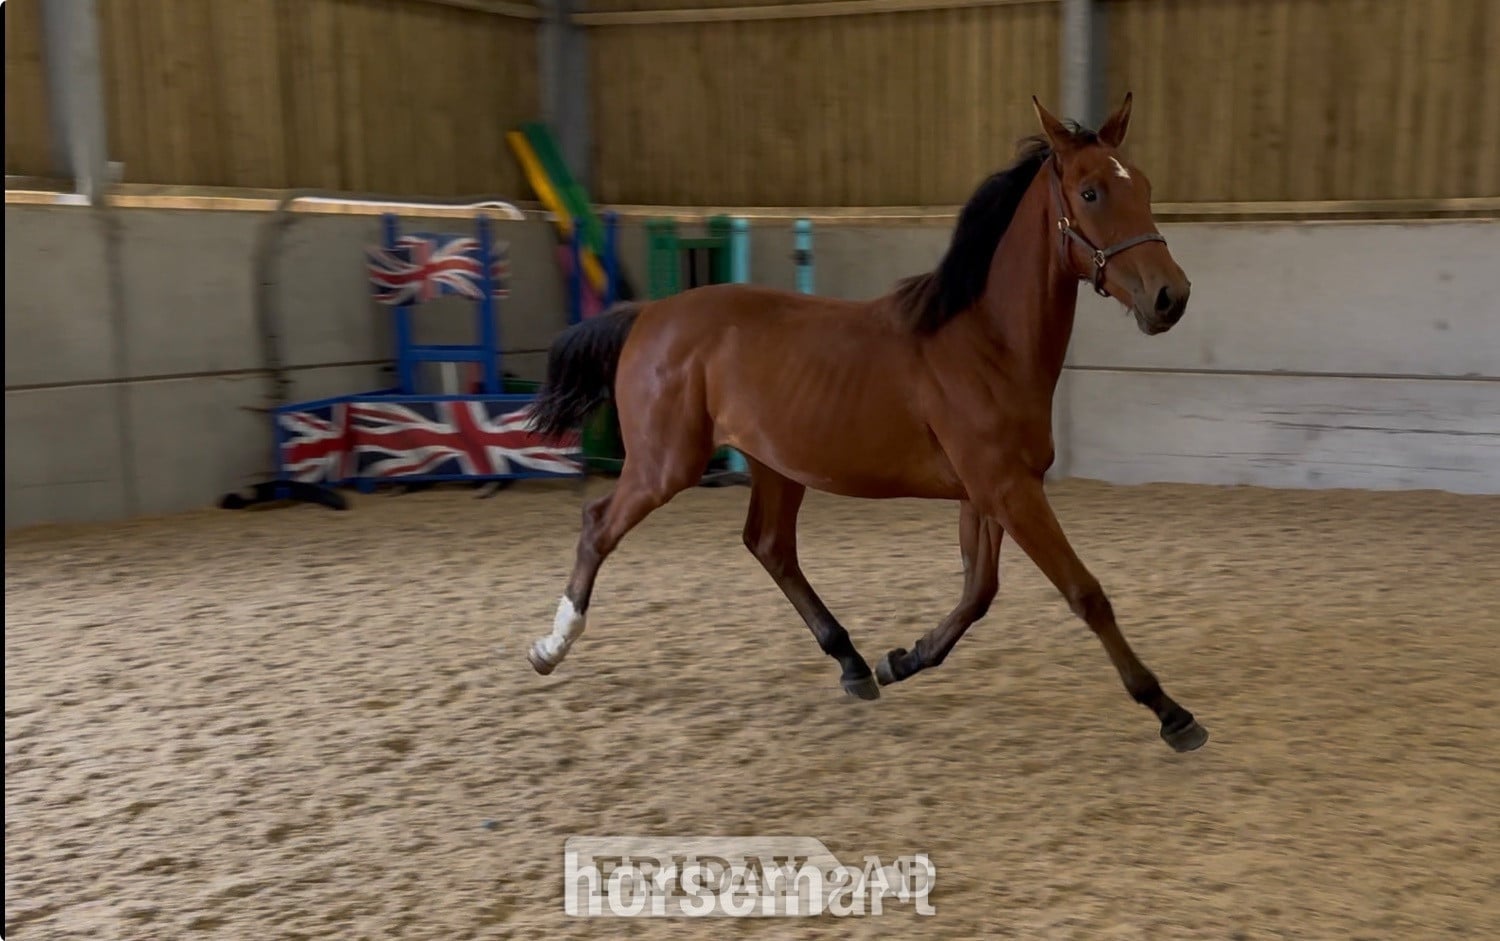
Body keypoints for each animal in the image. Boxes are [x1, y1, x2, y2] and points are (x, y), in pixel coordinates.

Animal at [524, 94, 1208, 753]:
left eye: (1144, 185)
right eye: (1090, 192)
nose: (1171, 297)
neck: (986, 344)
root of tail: (648, 315)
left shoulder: (988, 494)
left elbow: (978, 591)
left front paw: (902, 659)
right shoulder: (1009, 491)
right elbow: (1083, 592)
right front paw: (1171, 712)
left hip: (774, 465)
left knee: (770, 546)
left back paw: (851, 663)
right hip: (666, 464)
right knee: (599, 525)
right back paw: (550, 648)